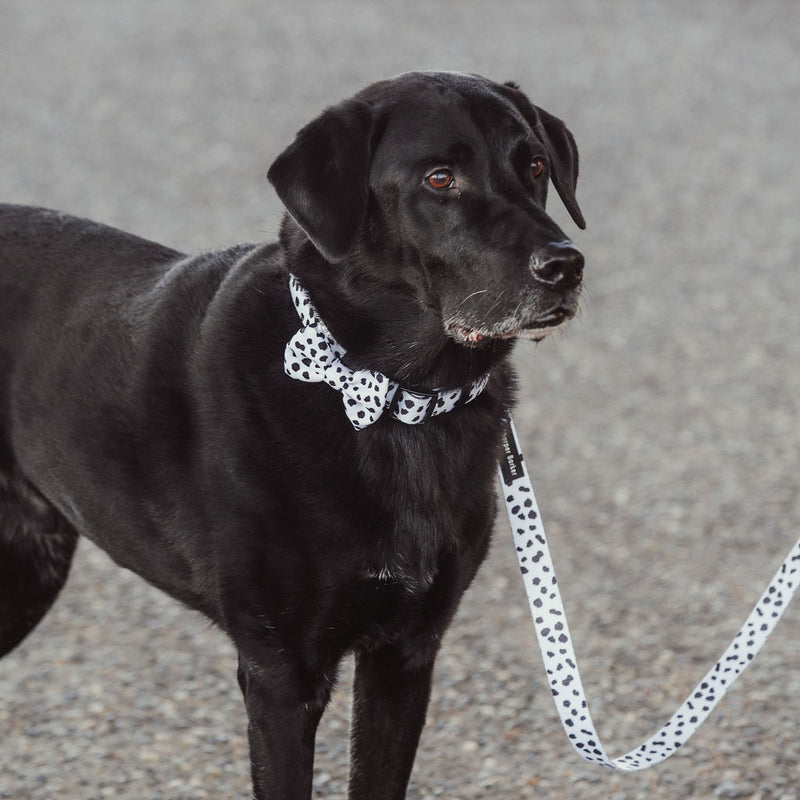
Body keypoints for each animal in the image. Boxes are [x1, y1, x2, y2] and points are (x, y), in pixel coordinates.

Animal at [0, 72, 588, 796]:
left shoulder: (406, 654)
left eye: (533, 166)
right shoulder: (282, 677)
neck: (394, 402)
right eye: (440, 178)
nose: (565, 266)